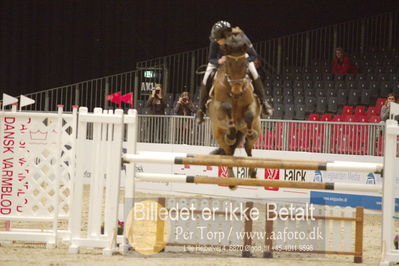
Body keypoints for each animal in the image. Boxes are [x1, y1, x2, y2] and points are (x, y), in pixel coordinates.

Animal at [206, 33, 262, 188]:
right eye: (228, 65)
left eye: (244, 65)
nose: (237, 92)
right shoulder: (217, 108)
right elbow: (226, 107)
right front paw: (230, 134)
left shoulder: (252, 104)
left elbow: (248, 115)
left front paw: (250, 133)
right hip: (218, 134)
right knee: (228, 152)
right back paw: (231, 180)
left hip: (256, 127)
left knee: (248, 146)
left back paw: (253, 171)